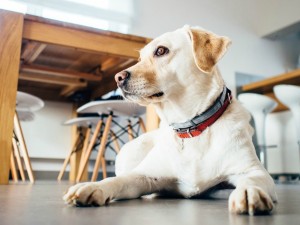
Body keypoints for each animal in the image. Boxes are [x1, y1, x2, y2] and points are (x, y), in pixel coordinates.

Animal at [64, 25, 278, 215]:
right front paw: (93, 187)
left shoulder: (253, 170)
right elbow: (118, 180)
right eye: (140, 58)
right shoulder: (142, 175)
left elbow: (252, 180)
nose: (118, 77)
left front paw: (249, 191)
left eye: (161, 50)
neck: (191, 127)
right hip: (129, 152)